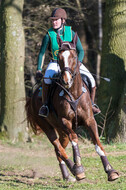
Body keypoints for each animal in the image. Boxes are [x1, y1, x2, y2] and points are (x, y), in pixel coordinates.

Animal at [25, 32, 119, 181]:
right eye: (59, 57)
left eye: (74, 56)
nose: (66, 80)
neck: (74, 93)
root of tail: (32, 96)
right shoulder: (65, 121)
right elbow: (75, 138)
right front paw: (79, 167)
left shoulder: (89, 120)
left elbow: (97, 143)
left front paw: (110, 170)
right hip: (48, 127)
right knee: (58, 147)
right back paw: (74, 169)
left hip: (61, 130)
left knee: (59, 148)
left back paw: (67, 175)